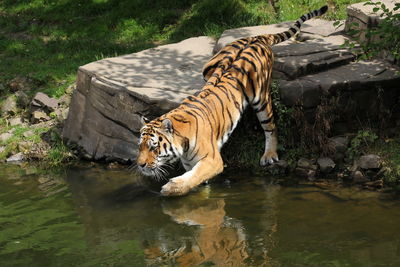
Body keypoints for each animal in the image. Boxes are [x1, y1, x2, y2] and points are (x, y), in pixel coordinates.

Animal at [138, 4, 328, 197]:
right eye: (140, 147)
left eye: (153, 147)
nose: (140, 165)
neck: (182, 144)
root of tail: (256, 37)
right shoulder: (190, 163)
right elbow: (197, 180)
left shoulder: (212, 160)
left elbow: (194, 176)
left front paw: (171, 188)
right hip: (209, 68)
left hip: (261, 97)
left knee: (270, 126)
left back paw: (269, 155)